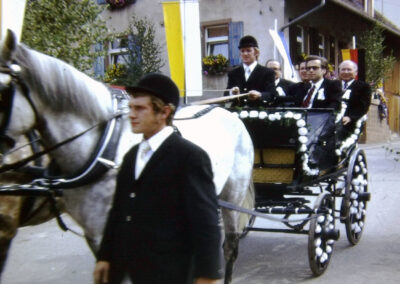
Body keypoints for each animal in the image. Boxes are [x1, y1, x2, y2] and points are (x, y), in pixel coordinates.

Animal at [0, 30, 253, 282]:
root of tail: (229, 113)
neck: (104, 147)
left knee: (229, 247)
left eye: (3, 91)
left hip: (232, 197)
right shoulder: (98, 234)